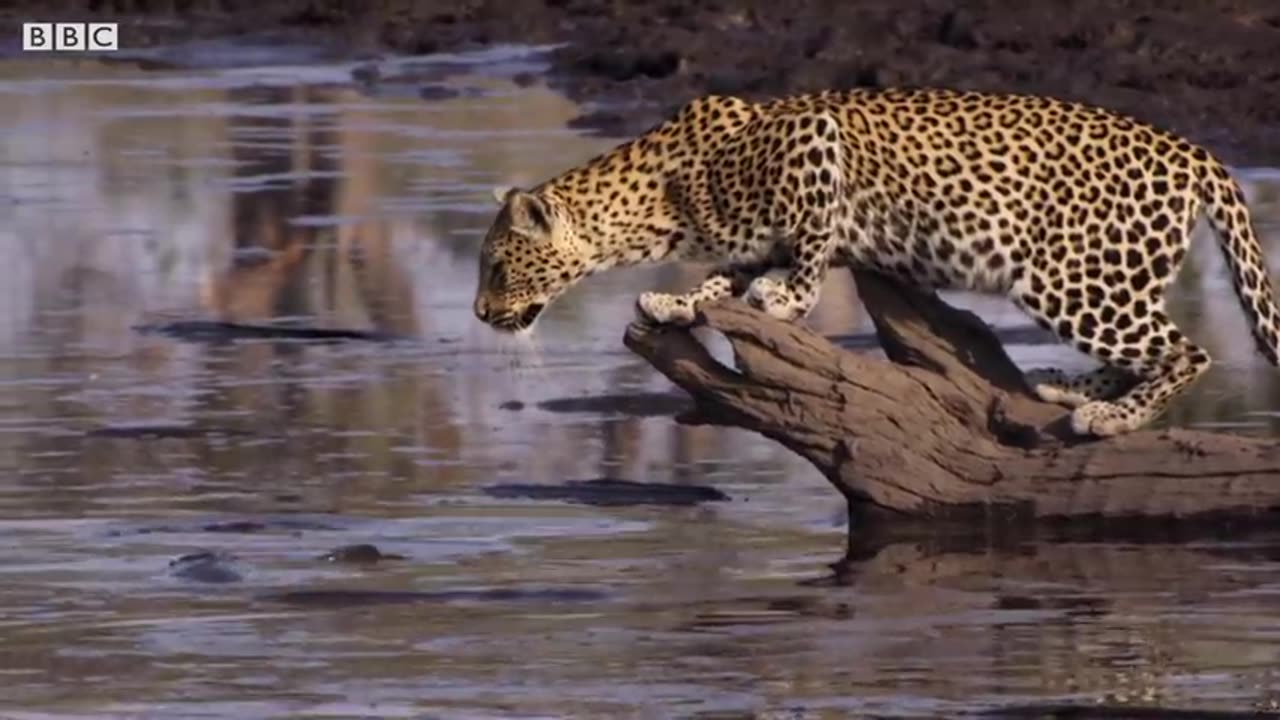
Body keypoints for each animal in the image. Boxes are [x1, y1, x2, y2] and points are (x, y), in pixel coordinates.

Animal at [471, 88, 1280, 438]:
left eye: (497, 269)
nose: (478, 313)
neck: (652, 206)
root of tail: (1196, 151)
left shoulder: (814, 141)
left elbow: (809, 243)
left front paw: (785, 301)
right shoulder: (745, 232)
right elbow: (728, 270)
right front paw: (679, 303)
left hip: (1072, 277)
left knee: (1188, 351)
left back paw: (1111, 417)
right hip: (1102, 279)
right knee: (1146, 348)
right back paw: (1065, 386)